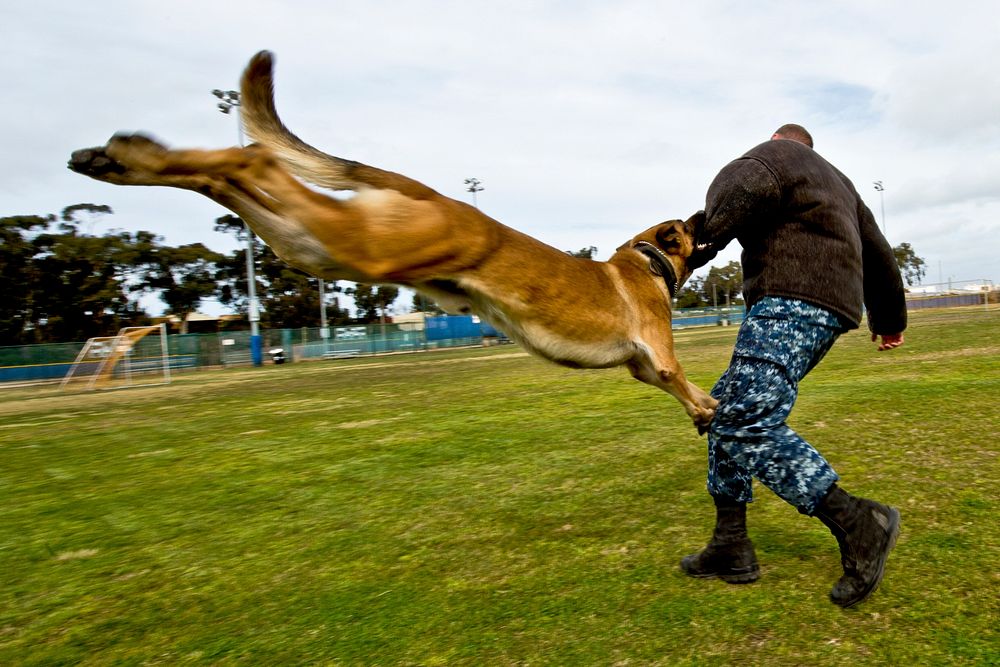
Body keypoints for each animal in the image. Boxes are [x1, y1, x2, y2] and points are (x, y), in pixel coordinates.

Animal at [68, 51, 720, 428]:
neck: (644, 260)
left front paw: (705, 409)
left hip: (317, 246)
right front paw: (707, 407)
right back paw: (132, 154)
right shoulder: (657, 357)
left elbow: (679, 387)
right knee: (254, 160)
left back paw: (119, 158)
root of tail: (429, 193)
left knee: (231, 182)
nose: (703, 213)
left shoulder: (638, 369)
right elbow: (682, 377)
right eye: (689, 230)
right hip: (362, 246)